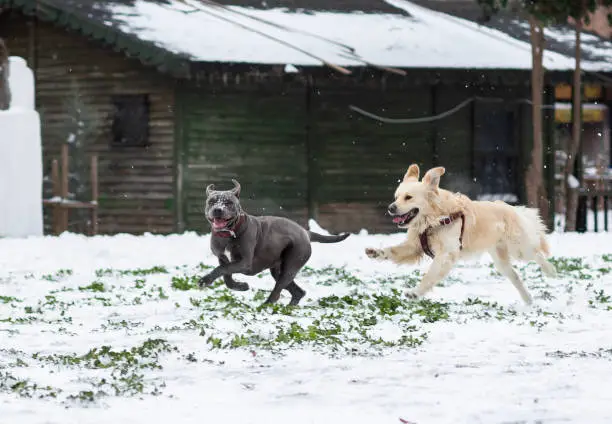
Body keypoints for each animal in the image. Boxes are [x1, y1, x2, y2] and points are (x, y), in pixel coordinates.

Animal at [200, 179, 350, 304]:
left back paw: (266, 307)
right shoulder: (223, 258)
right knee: (298, 292)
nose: (217, 209)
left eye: (228, 202)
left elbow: (222, 269)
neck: (228, 233)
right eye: (211, 201)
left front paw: (205, 280)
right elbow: (226, 276)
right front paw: (241, 286)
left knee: (277, 293)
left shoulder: (244, 262)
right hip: (278, 270)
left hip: (290, 266)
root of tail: (305, 232)